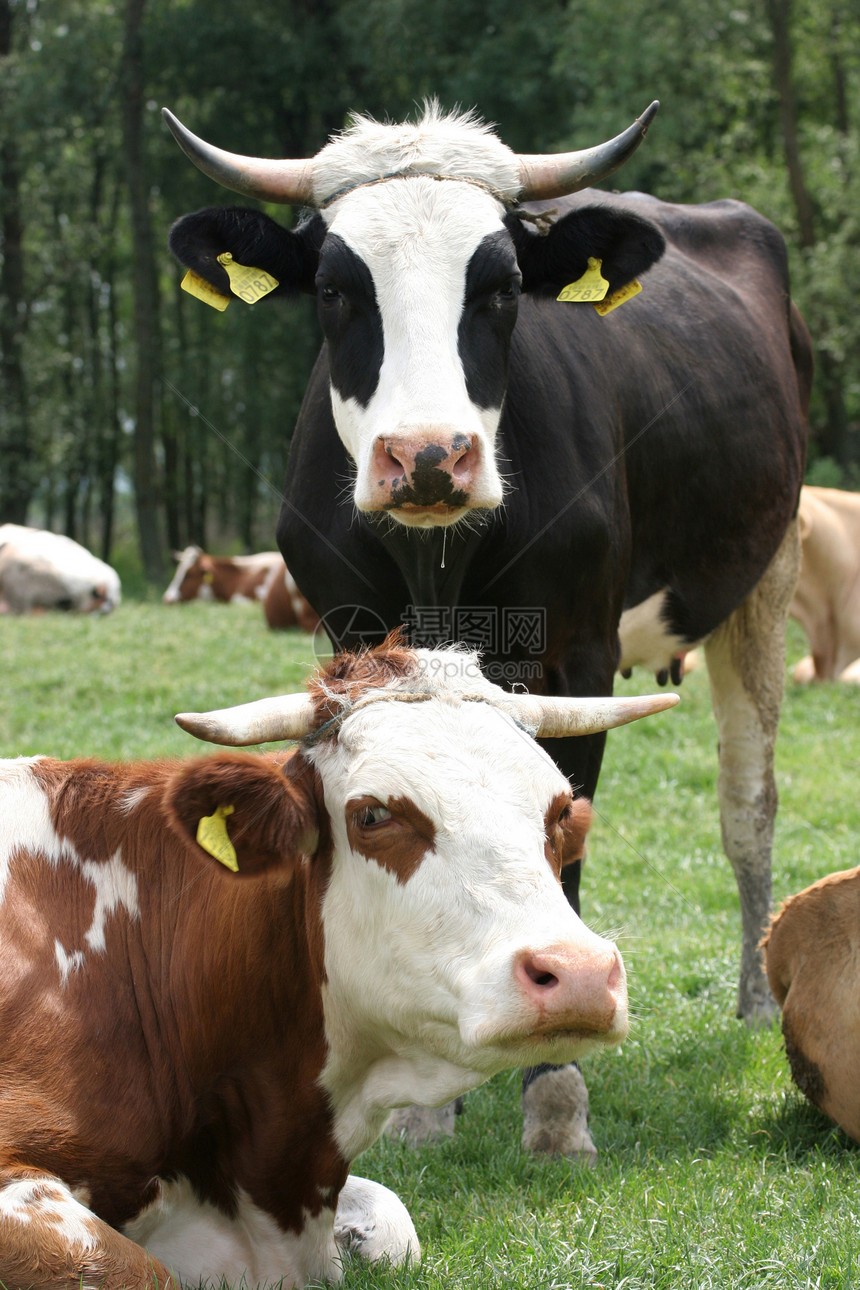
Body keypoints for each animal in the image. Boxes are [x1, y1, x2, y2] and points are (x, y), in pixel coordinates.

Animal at [163, 98, 814, 1150]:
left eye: (503, 287)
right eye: (337, 289)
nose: (428, 456)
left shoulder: (574, 655)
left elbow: (569, 836)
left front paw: (555, 1095)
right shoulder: (351, 640)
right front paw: (423, 1103)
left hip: (767, 572)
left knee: (747, 800)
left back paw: (757, 995)